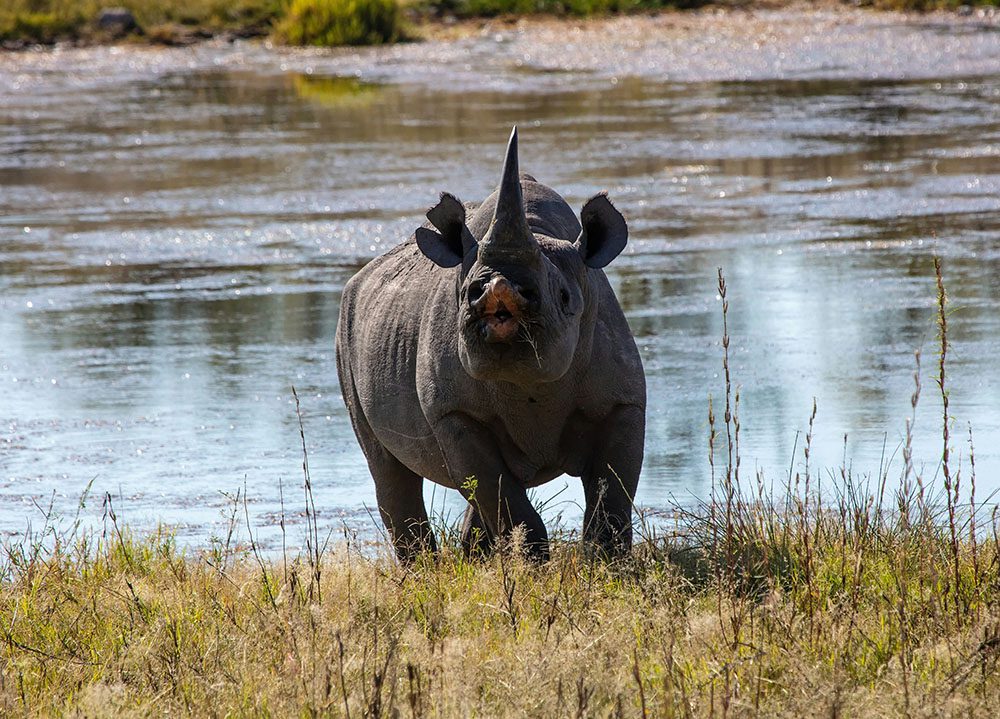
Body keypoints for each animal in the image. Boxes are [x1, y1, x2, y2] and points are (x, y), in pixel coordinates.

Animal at [335, 128, 645, 561]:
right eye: (468, 291)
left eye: (565, 297)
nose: (496, 288)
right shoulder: (454, 413)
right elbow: (501, 496)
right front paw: (533, 566)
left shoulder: (622, 402)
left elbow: (611, 496)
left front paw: (606, 565)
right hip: (345, 331)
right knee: (390, 470)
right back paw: (424, 570)